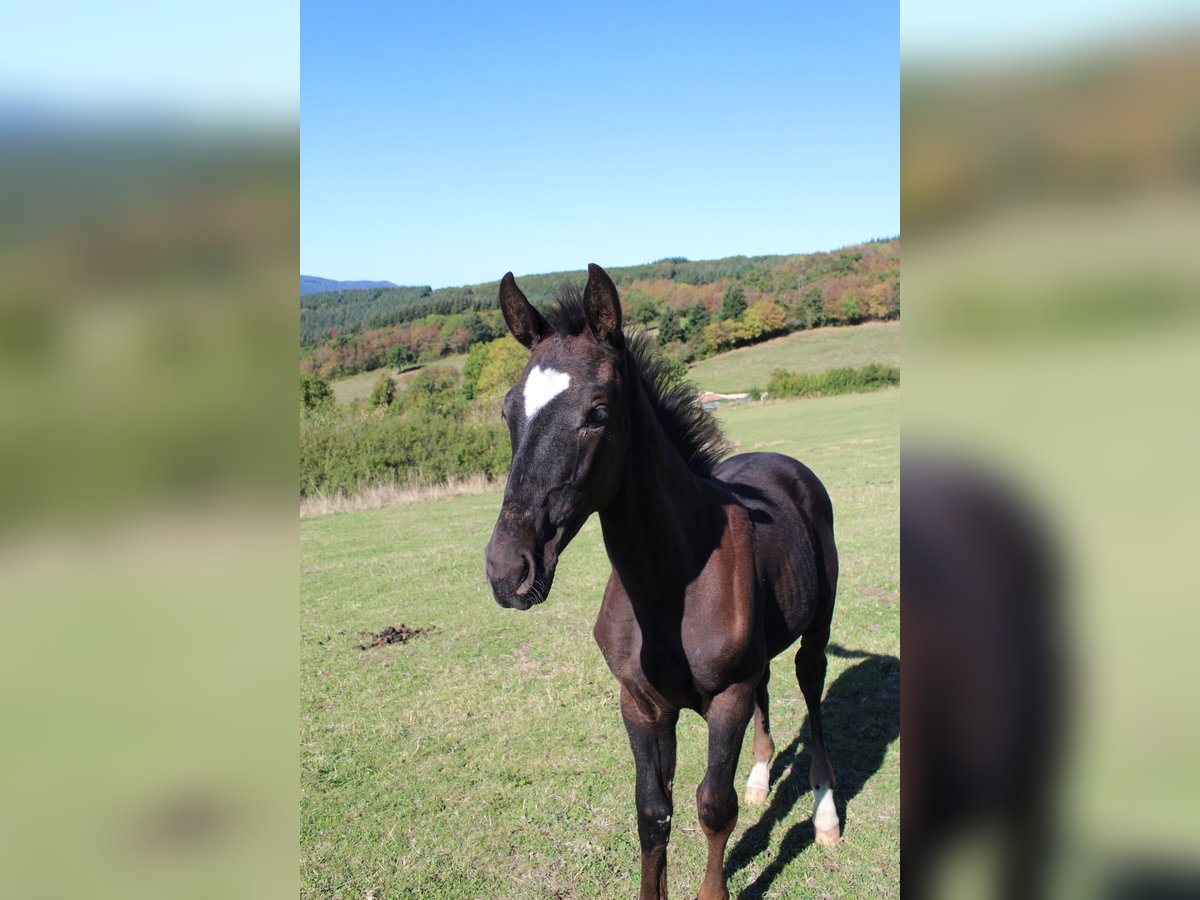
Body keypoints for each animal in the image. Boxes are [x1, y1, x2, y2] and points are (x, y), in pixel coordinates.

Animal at [482, 264, 840, 897]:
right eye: (508, 412)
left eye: (598, 412)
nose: (508, 571)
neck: (668, 587)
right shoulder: (640, 705)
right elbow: (653, 812)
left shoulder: (727, 699)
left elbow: (714, 807)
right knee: (770, 685)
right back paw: (761, 775)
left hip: (816, 632)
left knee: (809, 689)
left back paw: (825, 813)